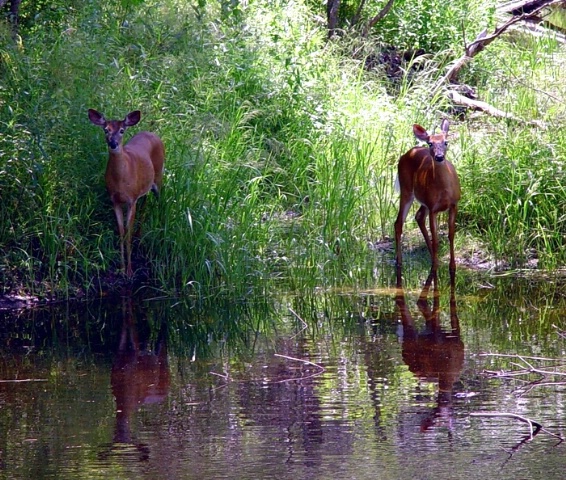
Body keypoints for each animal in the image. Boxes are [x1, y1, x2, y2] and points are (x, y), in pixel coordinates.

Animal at [394, 119, 462, 274]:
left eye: (446, 142)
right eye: (430, 143)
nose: (439, 157)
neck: (444, 191)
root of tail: (408, 152)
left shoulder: (454, 204)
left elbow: (451, 234)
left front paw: (452, 267)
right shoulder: (433, 208)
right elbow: (435, 237)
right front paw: (435, 267)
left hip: (423, 200)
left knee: (418, 216)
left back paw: (433, 257)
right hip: (406, 189)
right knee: (398, 223)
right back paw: (399, 262)